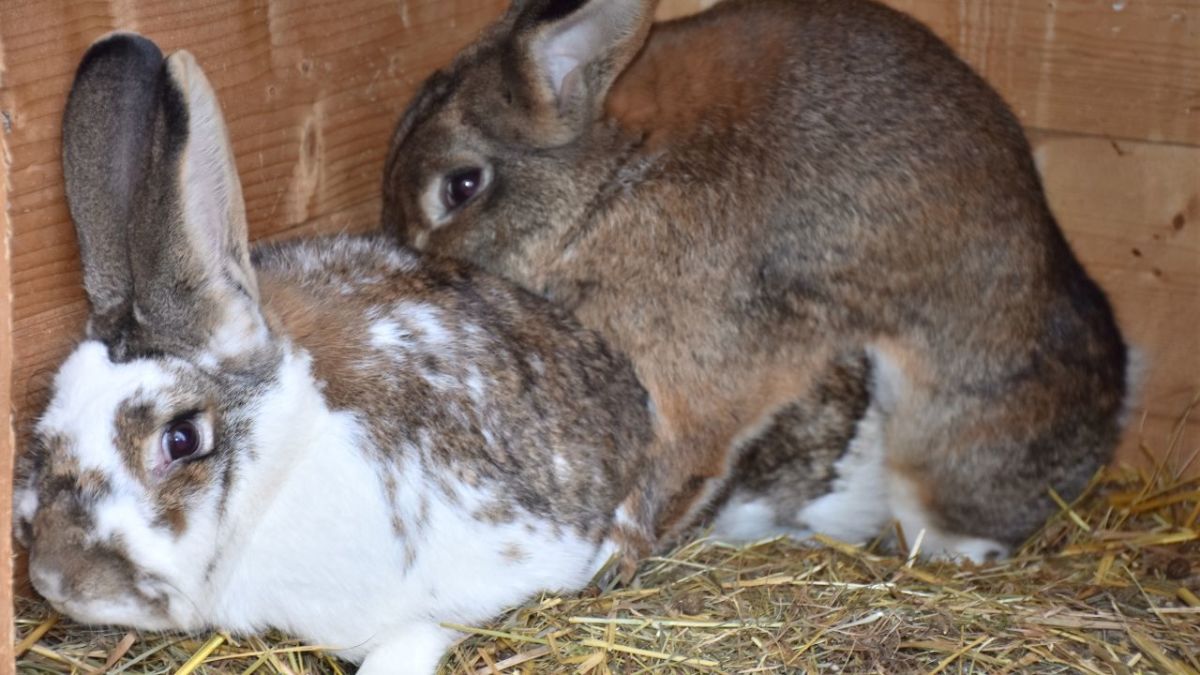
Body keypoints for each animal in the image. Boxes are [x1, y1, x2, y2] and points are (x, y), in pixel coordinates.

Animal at [381, 0, 1132, 559]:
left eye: (461, 186)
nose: (406, 257)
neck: (611, 177)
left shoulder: (699, 368)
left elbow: (681, 459)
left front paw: (614, 555)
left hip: (938, 447)